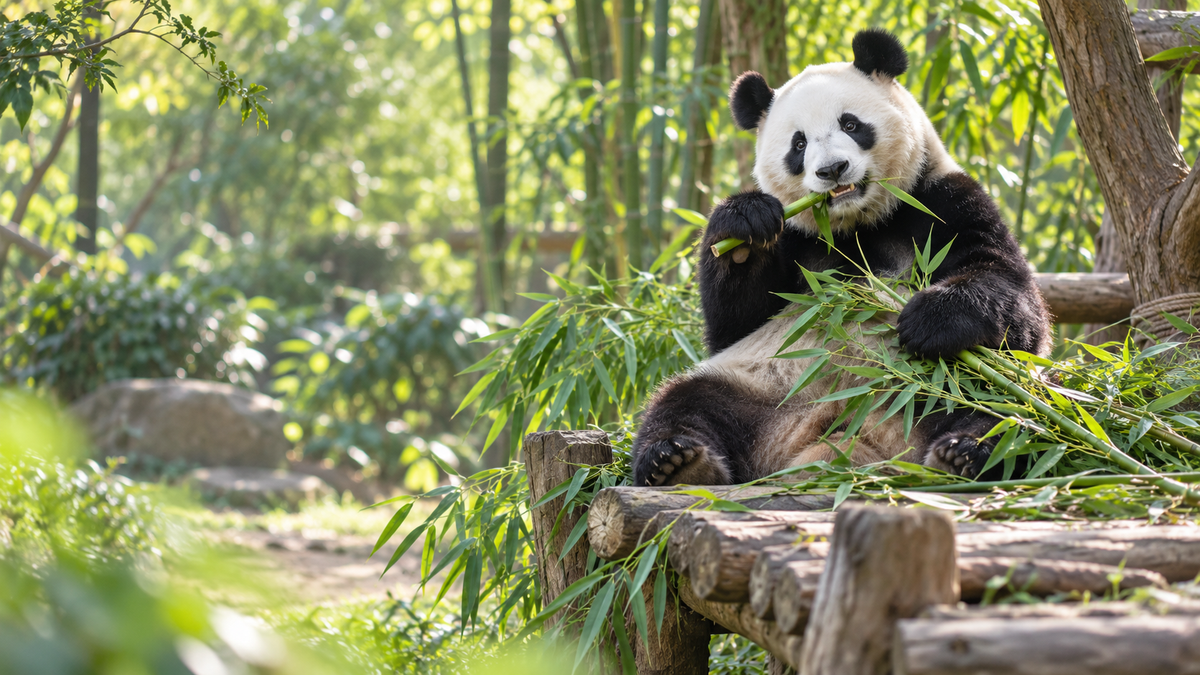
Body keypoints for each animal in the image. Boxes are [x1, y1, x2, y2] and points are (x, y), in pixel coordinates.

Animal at [632, 28, 1051, 488]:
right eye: (798, 144)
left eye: (850, 124)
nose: (832, 169)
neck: (857, 227)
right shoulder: (795, 239)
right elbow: (733, 323)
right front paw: (743, 227)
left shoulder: (943, 200)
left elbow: (1012, 296)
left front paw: (928, 320)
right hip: (760, 386)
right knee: (686, 402)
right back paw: (678, 461)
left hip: (953, 381)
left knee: (1010, 407)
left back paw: (966, 452)